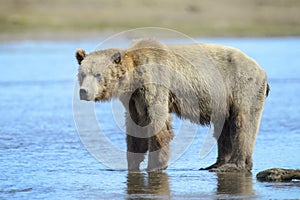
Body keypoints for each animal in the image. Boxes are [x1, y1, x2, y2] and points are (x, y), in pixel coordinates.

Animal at [75, 39, 270, 172]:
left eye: (98, 75)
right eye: (82, 74)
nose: (84, 92)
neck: (133, 79)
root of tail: (260, 68)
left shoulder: (156, 82)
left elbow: (158, 123)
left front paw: (155, 165)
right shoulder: (133, 99)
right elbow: (135, 128)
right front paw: (132, 163)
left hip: (242, 86)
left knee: (243, 123)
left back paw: (234, 165)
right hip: (223, 101)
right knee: (223, 128)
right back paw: (216, 164)